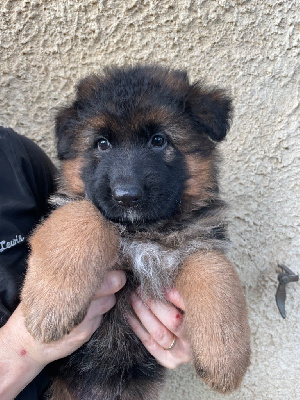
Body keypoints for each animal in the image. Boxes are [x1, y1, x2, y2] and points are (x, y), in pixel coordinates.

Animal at [21, 66, 251, 400]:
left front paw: (226, 359)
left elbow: (216, 271)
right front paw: (49, 305)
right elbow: (82, 215)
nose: (126, 196)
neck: (141, 232)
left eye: (158, 140)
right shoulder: (71, 206)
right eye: (102, 144)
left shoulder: (198, 239)